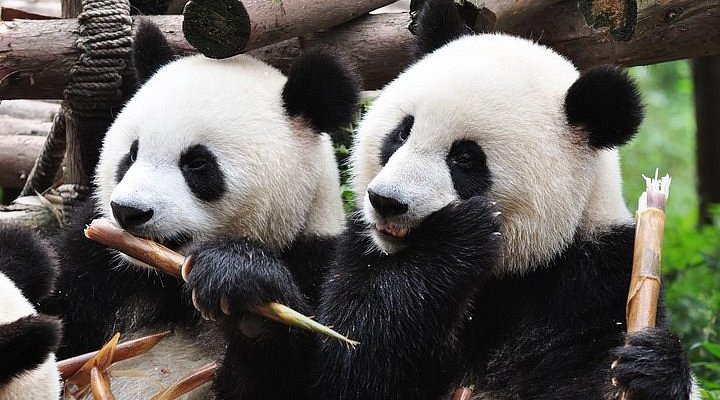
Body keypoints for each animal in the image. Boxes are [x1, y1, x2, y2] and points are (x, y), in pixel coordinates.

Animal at [39, 20, 359, 399]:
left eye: (197, 163)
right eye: (131, 154)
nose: (129, 212)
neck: (164, 279)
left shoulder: (319, 263)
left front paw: (242, 289)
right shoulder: (96, 259)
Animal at [313, 0, 697, 399]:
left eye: (465, 158)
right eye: (402, 133)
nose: (387, 202)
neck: (511, 273)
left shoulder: (596, 279)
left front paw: (652, 366)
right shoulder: (361, 252)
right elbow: (352, 358)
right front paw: (456, 239)